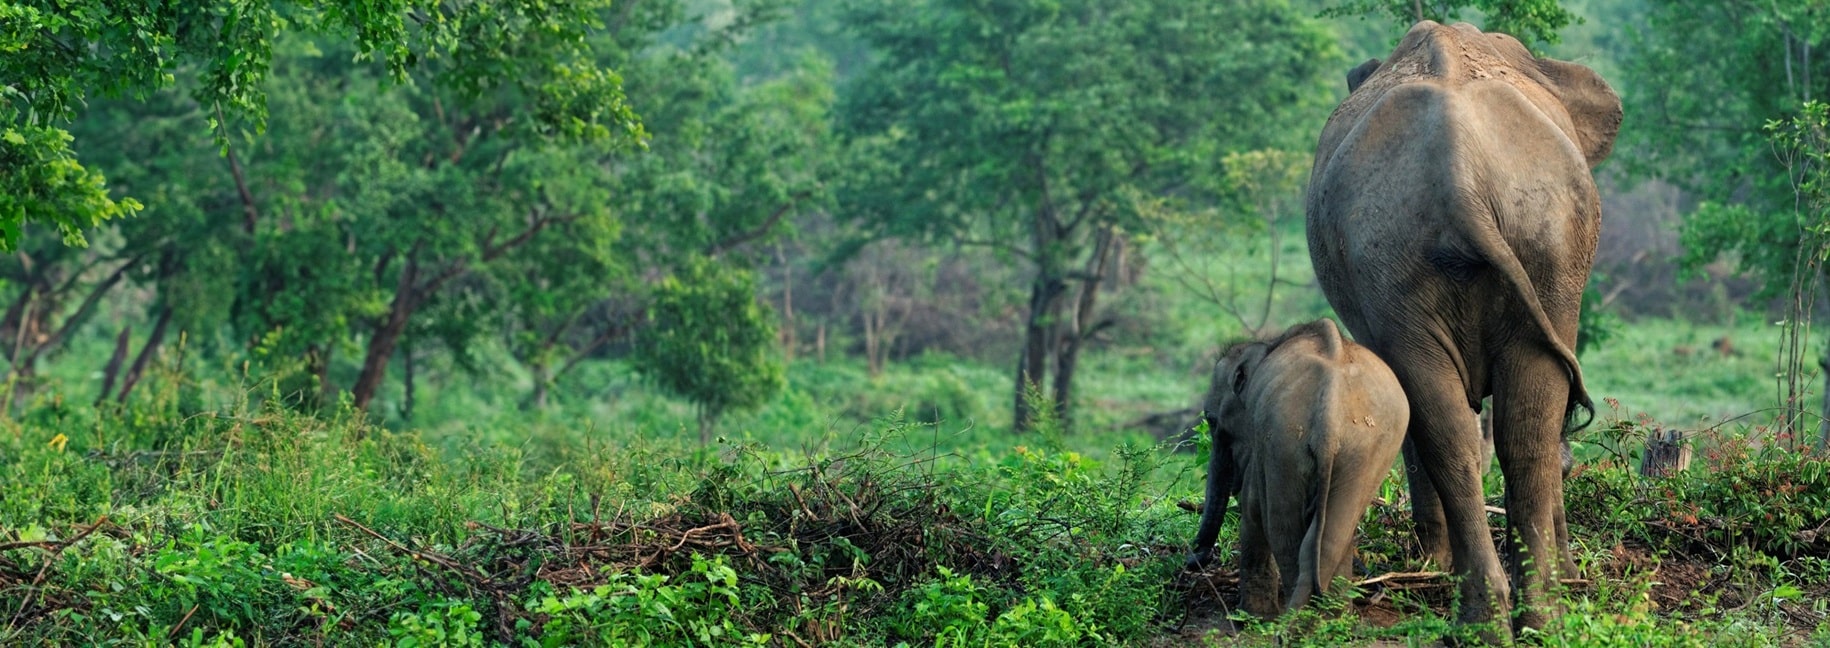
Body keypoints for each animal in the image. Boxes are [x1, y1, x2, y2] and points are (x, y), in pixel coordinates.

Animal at [1185, 318, 1408, 617]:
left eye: (1210, 420)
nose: (1192, 559)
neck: (1268, 345)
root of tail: (1330, 408)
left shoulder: (1261, 444)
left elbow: (1252, 509)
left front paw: (1252, 615)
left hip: (1284, 439)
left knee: (1283, 528)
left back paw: (1293, 615)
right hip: (1363, 451)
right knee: (1334, 534)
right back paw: (1330, 615)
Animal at [1305, 21, 1621, 633]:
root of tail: (1459, 177)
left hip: (1509, 244)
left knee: (1477, 425)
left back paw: (1512, 615)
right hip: (1455, 255)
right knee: (1494, 425)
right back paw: (1518, 613)